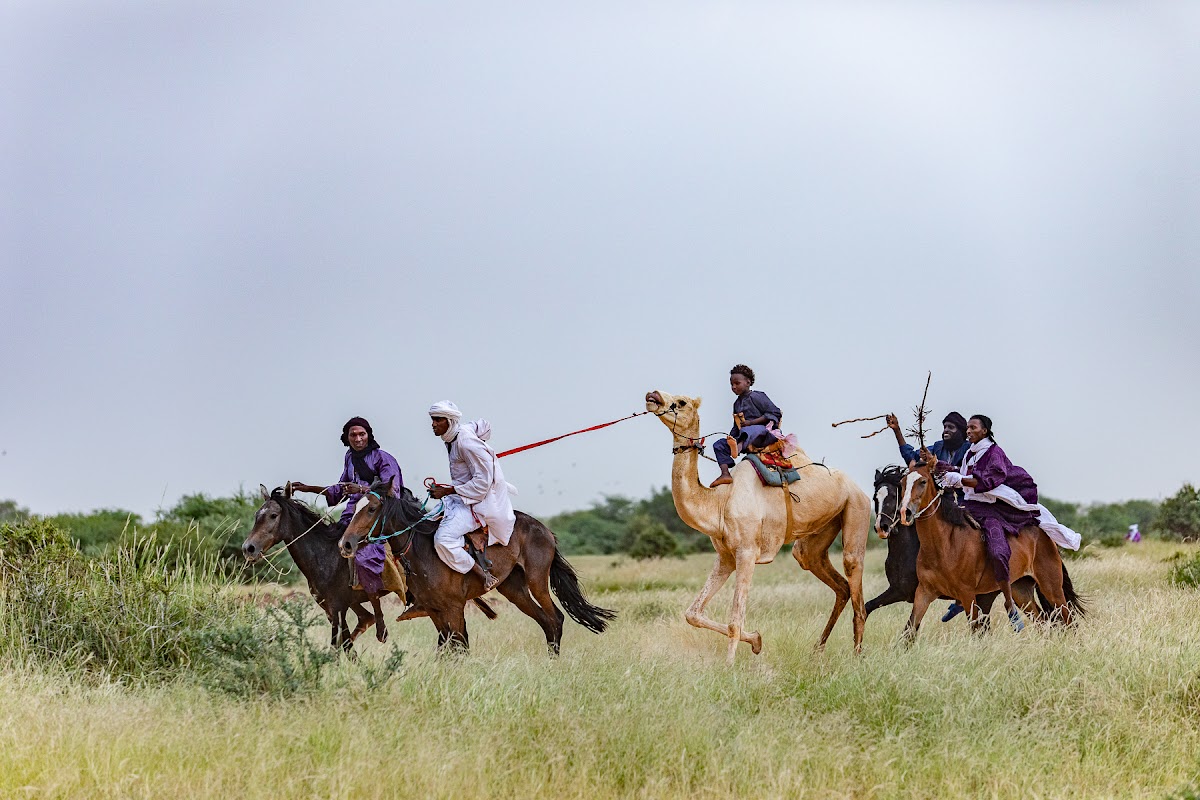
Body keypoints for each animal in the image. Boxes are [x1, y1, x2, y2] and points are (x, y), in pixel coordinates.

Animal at [243, 484, 496, 652]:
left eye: (273, 515)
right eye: (256, 515)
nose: (249, 548)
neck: (325, 556)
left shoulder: (337, 608)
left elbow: (341, 645)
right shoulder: (336, 608)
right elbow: (350, 639)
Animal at [340, 484, 614, 652]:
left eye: (371, 509)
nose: (346, 543)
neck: (421, 551)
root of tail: (544, 529)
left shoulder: (454, 608)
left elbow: (459, 645)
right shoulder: (434, 610)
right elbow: (447, 647)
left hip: (537, 581)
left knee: (555, 619)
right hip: (514, 589)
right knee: (545, 621)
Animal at [648, 388, 873, 662]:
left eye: (680, 402)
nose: (653, 396)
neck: (719, 502)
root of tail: (856, 486)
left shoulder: (746, 552)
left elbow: (735, 621)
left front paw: (730, 666)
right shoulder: (726, 557)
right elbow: (693, 613)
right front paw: (756, 641)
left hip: (857, 506)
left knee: (856, 584)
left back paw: (856, 657)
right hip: (821, 531)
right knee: (829, 576)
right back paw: (817, 650)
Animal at [897, 460, 1084, 642]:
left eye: (923, 481)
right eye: (902, 482)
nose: (905, 512)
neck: (945, 544)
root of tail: (1046, 536)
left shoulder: (967, 594)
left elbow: (975, 630)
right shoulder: (924, 593)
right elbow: (908, 632)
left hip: (1051, 587)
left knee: (1069, 620)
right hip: (1021, 591)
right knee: (1042, 621)